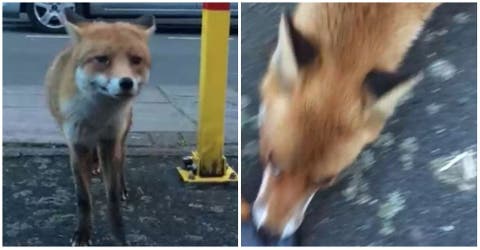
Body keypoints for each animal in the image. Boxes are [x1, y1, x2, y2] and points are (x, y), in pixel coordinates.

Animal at [44, 9, 155, 244]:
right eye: (102, 59)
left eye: (136, 60)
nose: (126, 83)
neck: (98, 116)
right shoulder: (76, 144)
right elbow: (83, 199)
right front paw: (83, 234)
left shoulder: (110, 140)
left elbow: (112, 199)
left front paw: (119, 236)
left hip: (121, 137)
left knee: (121, 162)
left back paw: (121, 185)